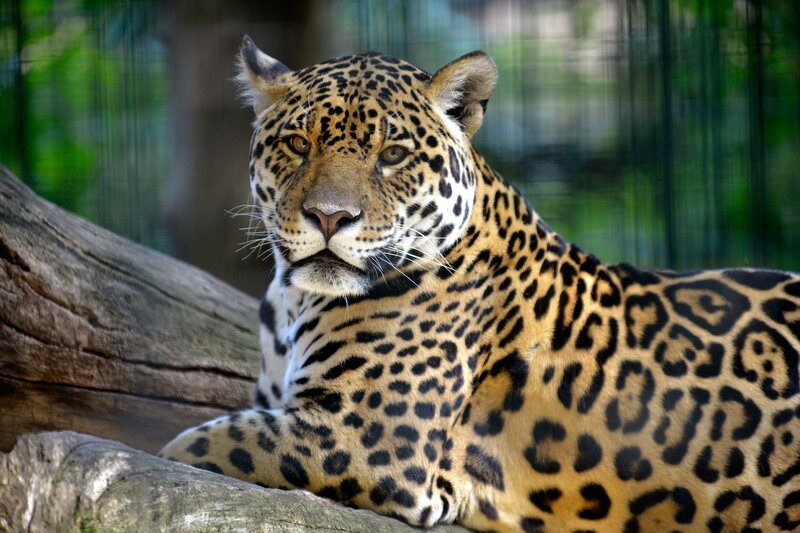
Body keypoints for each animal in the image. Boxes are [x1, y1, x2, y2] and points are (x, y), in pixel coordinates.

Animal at [161, 35, 800, 532]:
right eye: (298, 143)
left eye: (392, 155)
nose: (329, 216)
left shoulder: (362, 437)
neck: (296, 300)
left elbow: (198, 445)